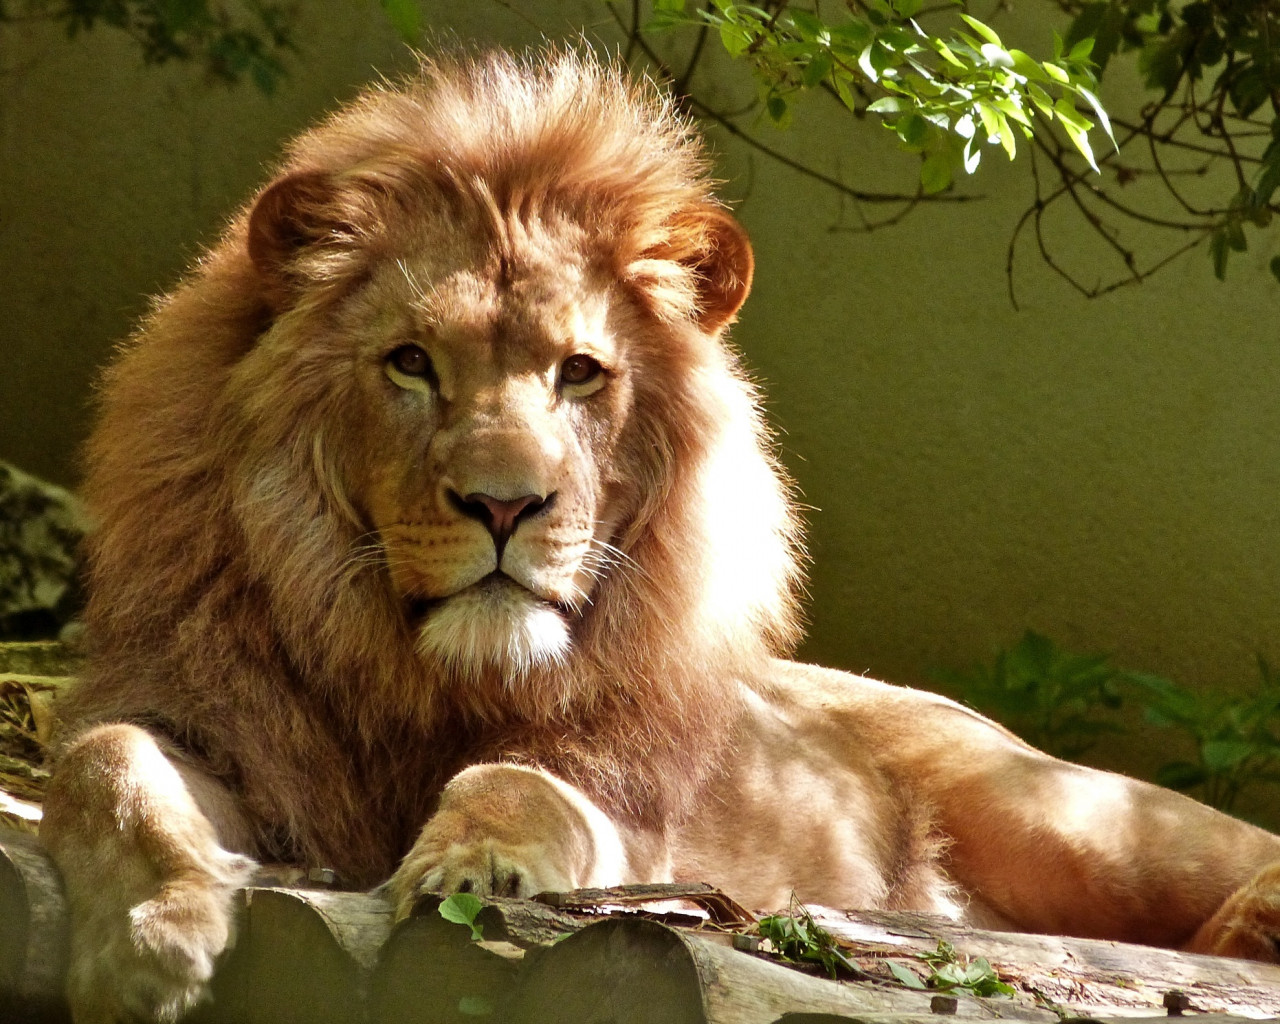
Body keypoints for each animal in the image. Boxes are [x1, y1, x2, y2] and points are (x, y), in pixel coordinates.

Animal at [40, 47, 1280, 1024]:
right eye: (410, 362)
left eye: (579, 372)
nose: (505, 505)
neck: (420, 672)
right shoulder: (212, 717)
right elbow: (103, 761)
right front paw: (152, 935)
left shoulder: (625, 807)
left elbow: (519, 782)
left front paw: (477, 865)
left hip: (1067, 817)